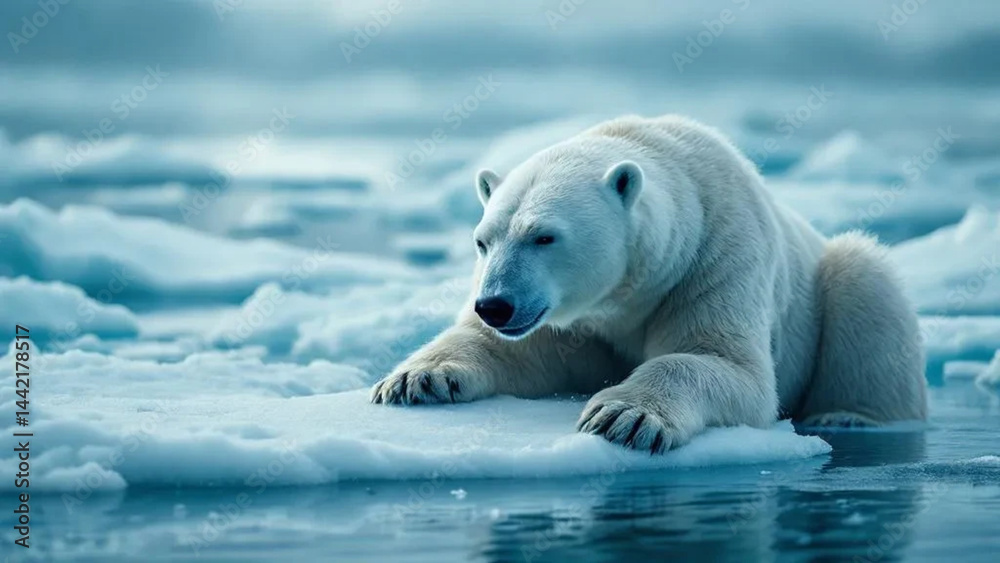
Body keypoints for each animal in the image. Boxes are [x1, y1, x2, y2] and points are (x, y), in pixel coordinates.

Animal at [371, 114, 928, 453]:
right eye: (483, 240)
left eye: (544, 236)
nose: (494, 305)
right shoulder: (576, 324)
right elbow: (514, 353)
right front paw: (415, 379)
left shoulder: (716, 255)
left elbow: (725, 364)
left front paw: (623, 417)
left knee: (865, 288)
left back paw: (848, 416)